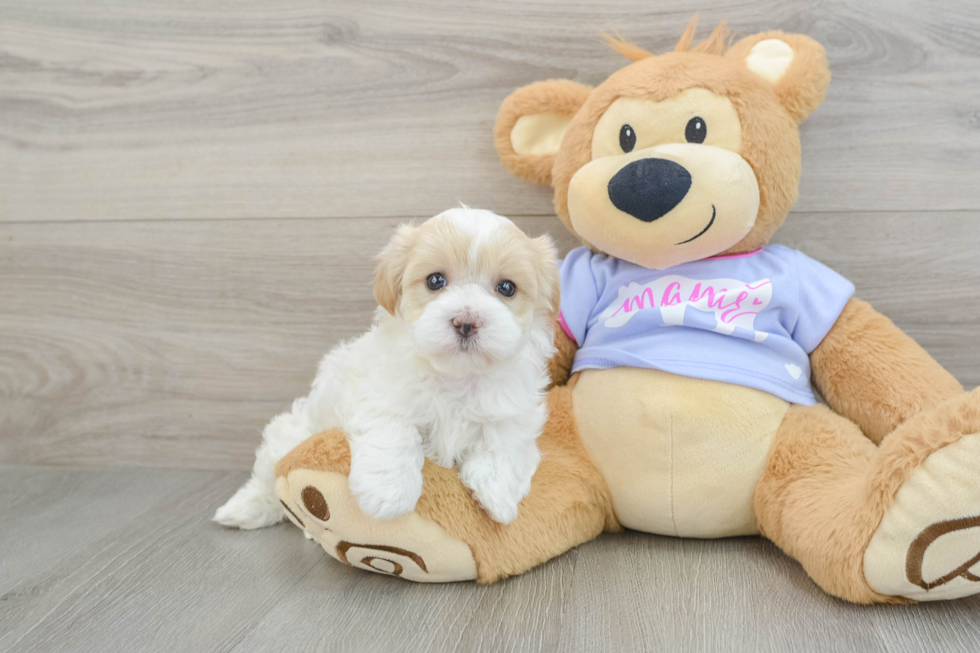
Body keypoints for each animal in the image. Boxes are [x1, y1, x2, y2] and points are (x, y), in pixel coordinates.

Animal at [218, 206, 564, 528]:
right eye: (435, 280)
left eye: (506, 288)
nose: (466, 321)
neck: (456, 377)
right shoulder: (378, 397)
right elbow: (395, 433)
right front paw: (389, 495)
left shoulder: (513, 414)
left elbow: (503, 445)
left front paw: (498, 496)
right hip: (291, 434)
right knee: (268, 477)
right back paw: (244, 509)